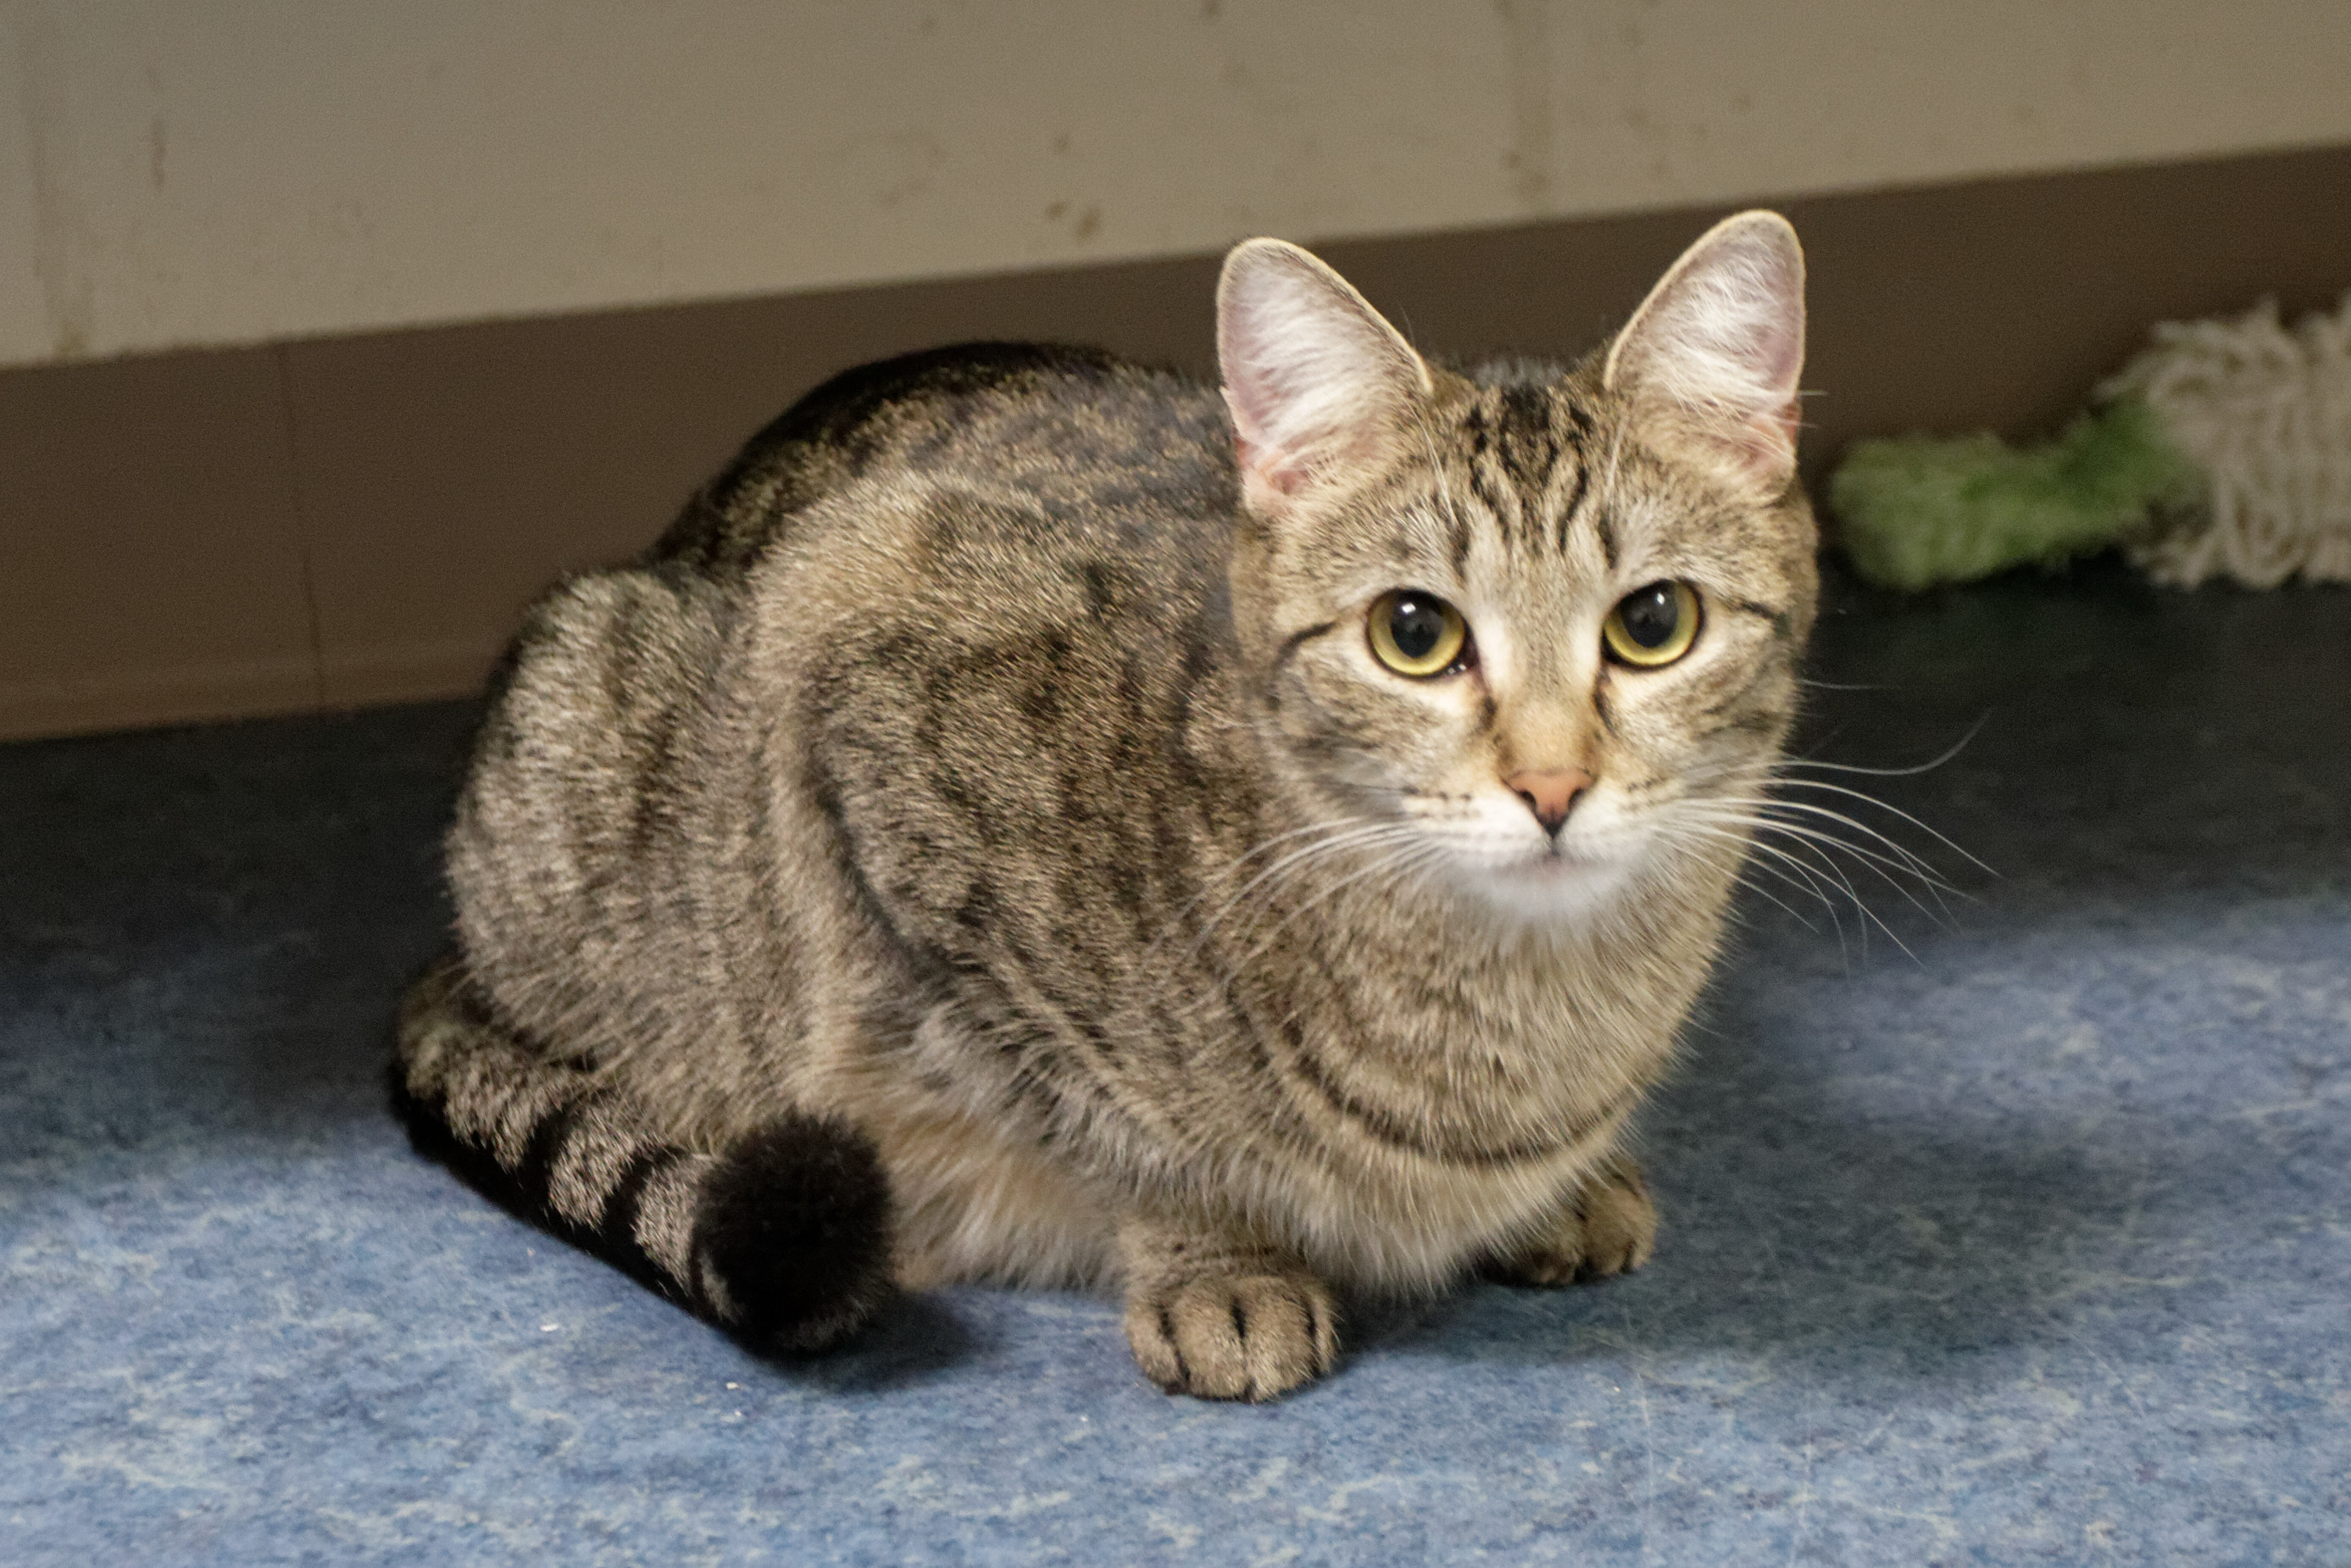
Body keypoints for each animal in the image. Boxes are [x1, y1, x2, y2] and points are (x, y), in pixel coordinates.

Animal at [395, 205, 1815, 1401]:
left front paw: (1555, 1194)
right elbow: (1119, 1125)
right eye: (1413, 633)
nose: (1550, 782)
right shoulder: (857, 686)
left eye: (1652, 622)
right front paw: (1216, 1256)